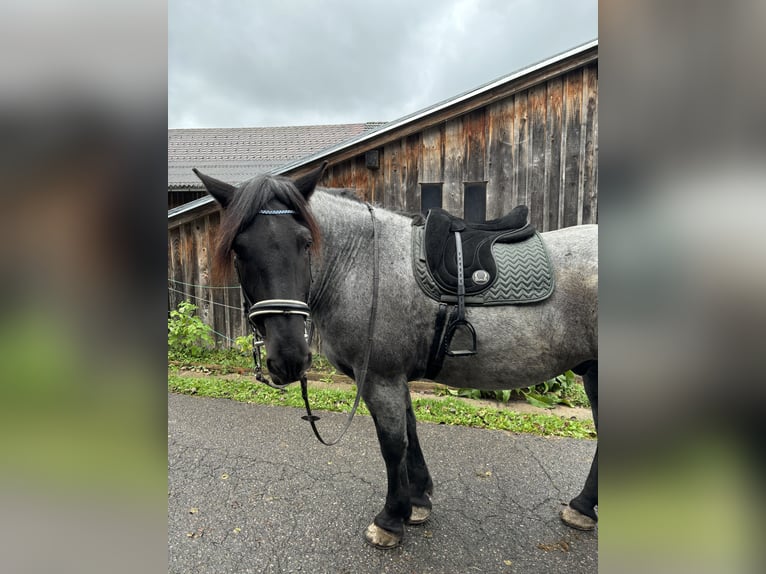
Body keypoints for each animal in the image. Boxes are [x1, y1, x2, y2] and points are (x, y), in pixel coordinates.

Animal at [194, 164, 600, 552]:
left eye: (305, 242)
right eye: (239, 249)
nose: (290, 358)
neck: (359, 263)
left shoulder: (379, 377)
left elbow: (392, 445)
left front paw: (390, 519)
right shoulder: (394, 378)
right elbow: (411, 431)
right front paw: (418, 501)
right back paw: (583, 507)